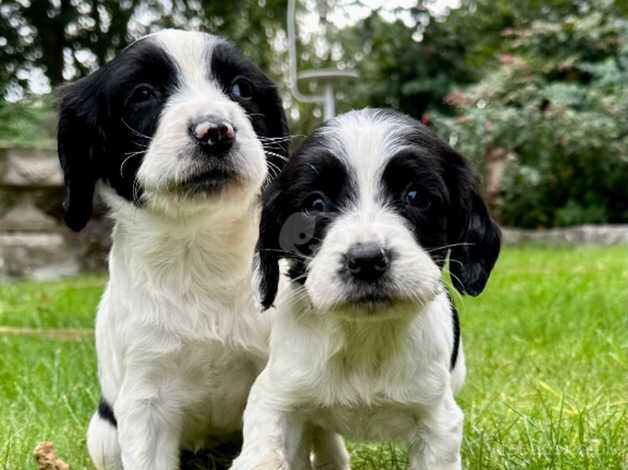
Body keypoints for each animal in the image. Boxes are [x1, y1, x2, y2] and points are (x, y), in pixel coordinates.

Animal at [57, 30, 296, 470]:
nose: (215, 131)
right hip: (103, 435)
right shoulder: (145, 401)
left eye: (241, 89)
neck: (197, 250)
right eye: (143, 93)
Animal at [231, 108, 500, 468]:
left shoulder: (438, 420)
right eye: (315, 204)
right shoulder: (276, 396)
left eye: (416, 196)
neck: (364, 336)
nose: (367, 260)